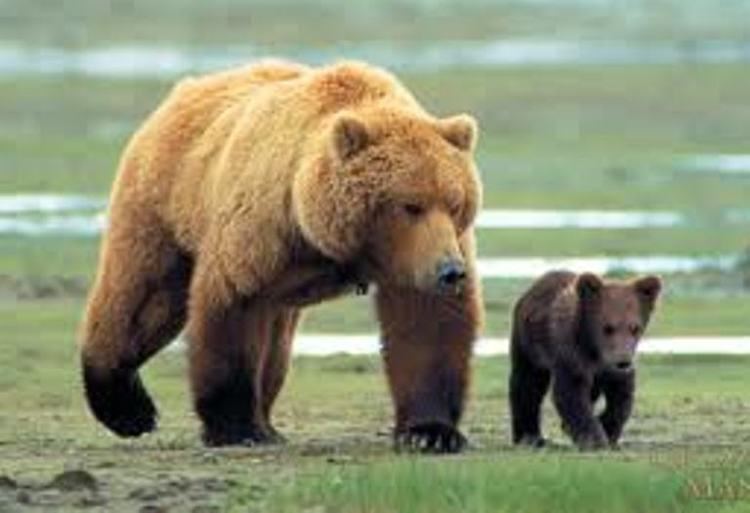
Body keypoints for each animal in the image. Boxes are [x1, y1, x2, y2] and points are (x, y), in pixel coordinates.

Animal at [79, 59, 484, 452]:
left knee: (273, 345)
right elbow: (232, 309)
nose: (450, 271)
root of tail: (187, 88)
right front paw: (234, 427)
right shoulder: (264, 230)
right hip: (164, 204)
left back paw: (267, 424)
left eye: (455, 203)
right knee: (142, 298)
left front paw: (430, 432)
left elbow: (426, 323)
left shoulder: (420, 253)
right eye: (410, 205)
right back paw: (128, 409)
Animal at [512, 270, 664, 450]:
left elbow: (622, 396)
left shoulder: (615, 367)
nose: (623, 361)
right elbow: (571, 392)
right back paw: (529, 436)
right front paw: (594, 439)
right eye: (608, 327)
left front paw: (607, 428)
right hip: (529, 344)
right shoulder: (571, 354)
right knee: (527, 383)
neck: (595, 349)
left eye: (634, 327)